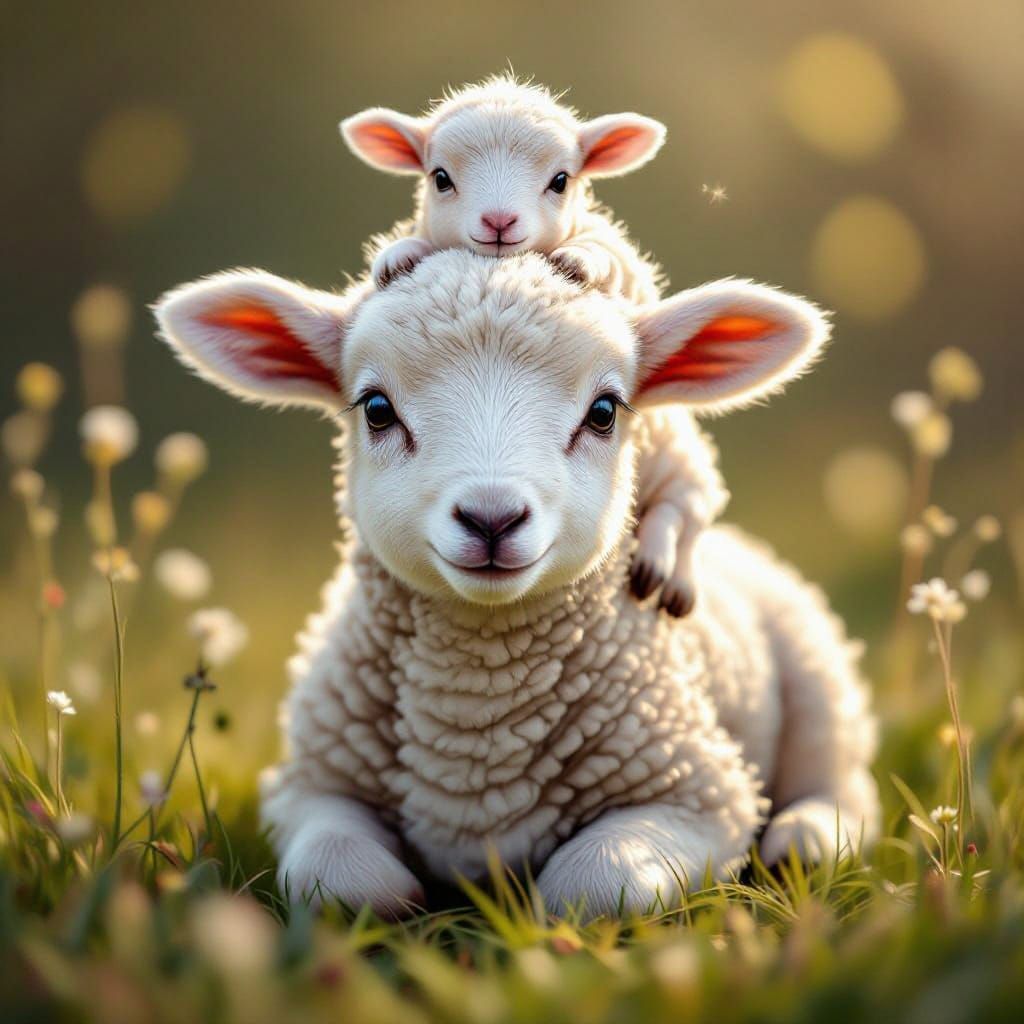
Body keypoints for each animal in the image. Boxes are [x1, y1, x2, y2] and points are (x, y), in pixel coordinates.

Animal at [155, 250, 880, 918]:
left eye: (604, 411)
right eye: (377, 409)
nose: (491, 517)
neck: (476, 717)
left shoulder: (702, 790)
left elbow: (590, 883)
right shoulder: (309, 784)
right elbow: (342, 878)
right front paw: (410, 899)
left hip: (816, 676)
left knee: (843, 783)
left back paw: (803, 839)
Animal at [342, 74, 723, 617]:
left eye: (561, 180)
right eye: (440, 177)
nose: (499, 221)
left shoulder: (617, 254)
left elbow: (601, 253)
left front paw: (580, 260)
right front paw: (398, 256)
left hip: (676, 453)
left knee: (686, 507)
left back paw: (666, 571)